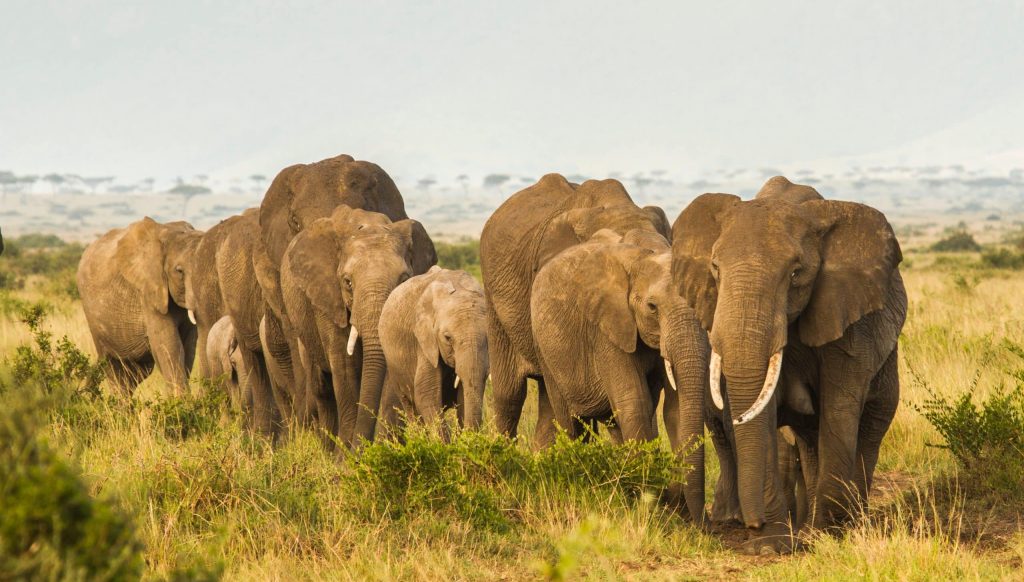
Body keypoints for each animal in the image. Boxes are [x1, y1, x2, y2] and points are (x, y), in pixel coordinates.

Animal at [77, 217, 202, 395]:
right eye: (179, 271)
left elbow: (189, 345)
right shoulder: (148, 291)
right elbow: (168, 345)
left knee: (136, 373)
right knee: (113, 366)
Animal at [280, 205, 436, 447]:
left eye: (404, 279)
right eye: (347, 282)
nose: (361, 446)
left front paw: (386, 448)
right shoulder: (327, 297)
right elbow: (345, 367)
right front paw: (346, 455)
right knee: (321, 387)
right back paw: (327, 448)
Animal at [530, 229, 709, 521]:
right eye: (652, 307)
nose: (700, 521)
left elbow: (675, 407)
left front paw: (670, 506)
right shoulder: (606, 328)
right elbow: (634, 400)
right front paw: (651, 504)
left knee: (613, 423)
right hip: (545, 349)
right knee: (570, 419)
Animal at [672, 176, 906, 553]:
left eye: (796, 274)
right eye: (715, 269)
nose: (751, 523)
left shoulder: (848, 317)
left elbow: (840, 409)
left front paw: (828, 537)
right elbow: (762, 414)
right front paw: (771, 546)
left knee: (871, 425)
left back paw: (847, 523)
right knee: (809, 438)